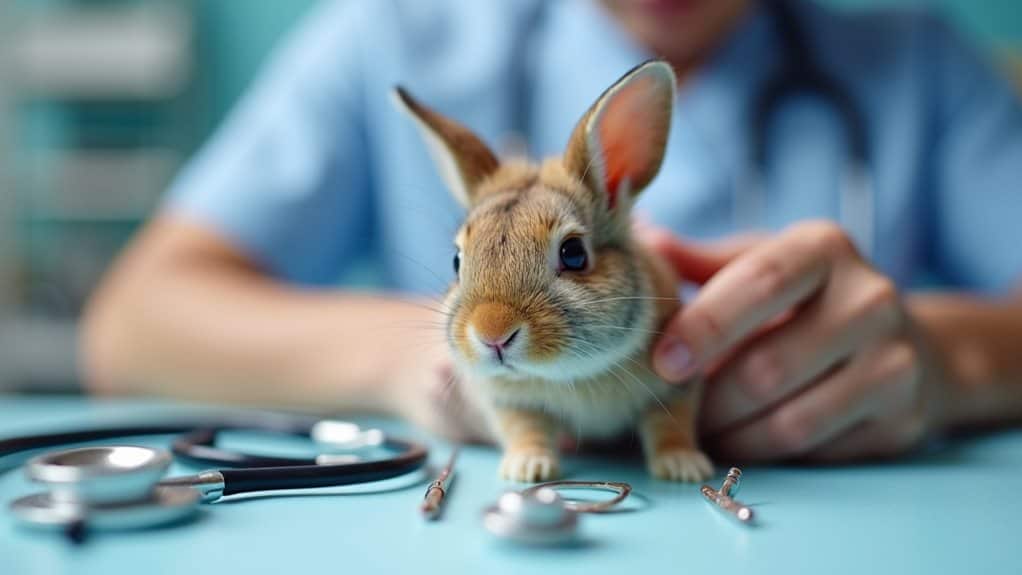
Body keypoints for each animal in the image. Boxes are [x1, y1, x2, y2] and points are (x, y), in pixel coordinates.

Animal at [394, 60, 713, 483]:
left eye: (573, 253)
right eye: (457, 261)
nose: (492, 334)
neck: (569, 374)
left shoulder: (676, 385)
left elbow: (671, 424)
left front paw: (684, 466)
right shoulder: (508, 401)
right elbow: (525, 428)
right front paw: (528, 468)